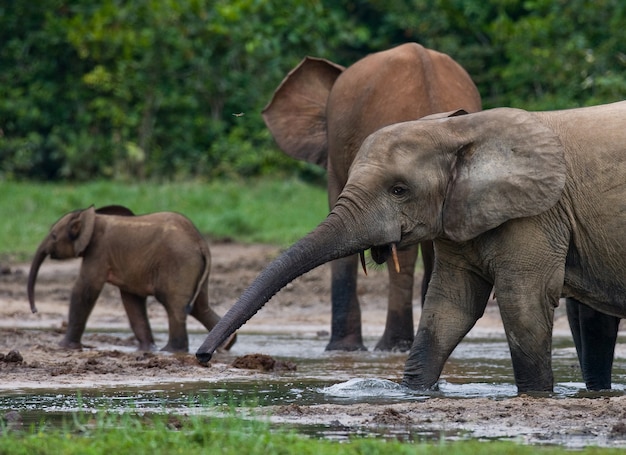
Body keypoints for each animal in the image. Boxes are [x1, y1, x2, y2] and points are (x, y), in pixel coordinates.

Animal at [26, 206, 236, 352]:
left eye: (54, 236)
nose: (35, 311)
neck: (93, 218)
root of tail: (200, 243)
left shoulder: (98, 252)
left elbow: (85, 289)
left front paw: (64, 346)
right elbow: (132, 301)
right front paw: (146, 349)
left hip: (179, 263)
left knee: (175, 306)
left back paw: (171, 351)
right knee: (200, 306)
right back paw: (227, 344)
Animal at [199, 101, 624, 394]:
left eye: (399, 190)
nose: (204, 357)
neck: (459, 130)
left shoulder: (538, 212)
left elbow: (524, 301)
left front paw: (536, 396)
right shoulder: (460, 214)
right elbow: (449, 306)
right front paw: (413, 392)